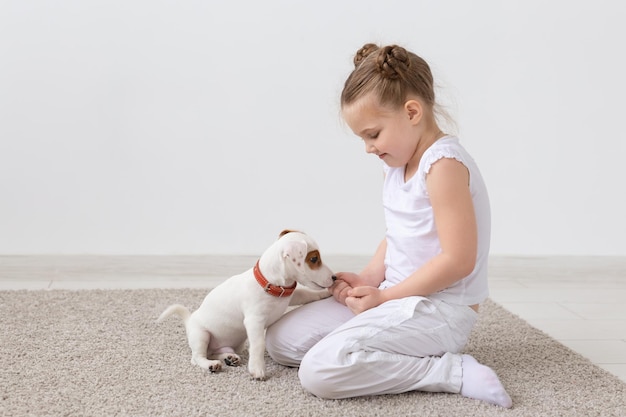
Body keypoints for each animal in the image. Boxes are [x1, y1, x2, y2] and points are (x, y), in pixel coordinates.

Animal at [158, 229, 334, 378]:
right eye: (314, 259)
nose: (334, 278)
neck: (270, 285)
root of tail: (189, 321)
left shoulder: (292, 296)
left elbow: (307, 294)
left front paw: (327, 293)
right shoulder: (254, 321)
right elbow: (258, 344)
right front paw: (257, 369)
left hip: (233, 345)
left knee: (214, 352)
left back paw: (229, 358)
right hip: (201, 335)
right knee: (197, 357)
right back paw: (211, 365)